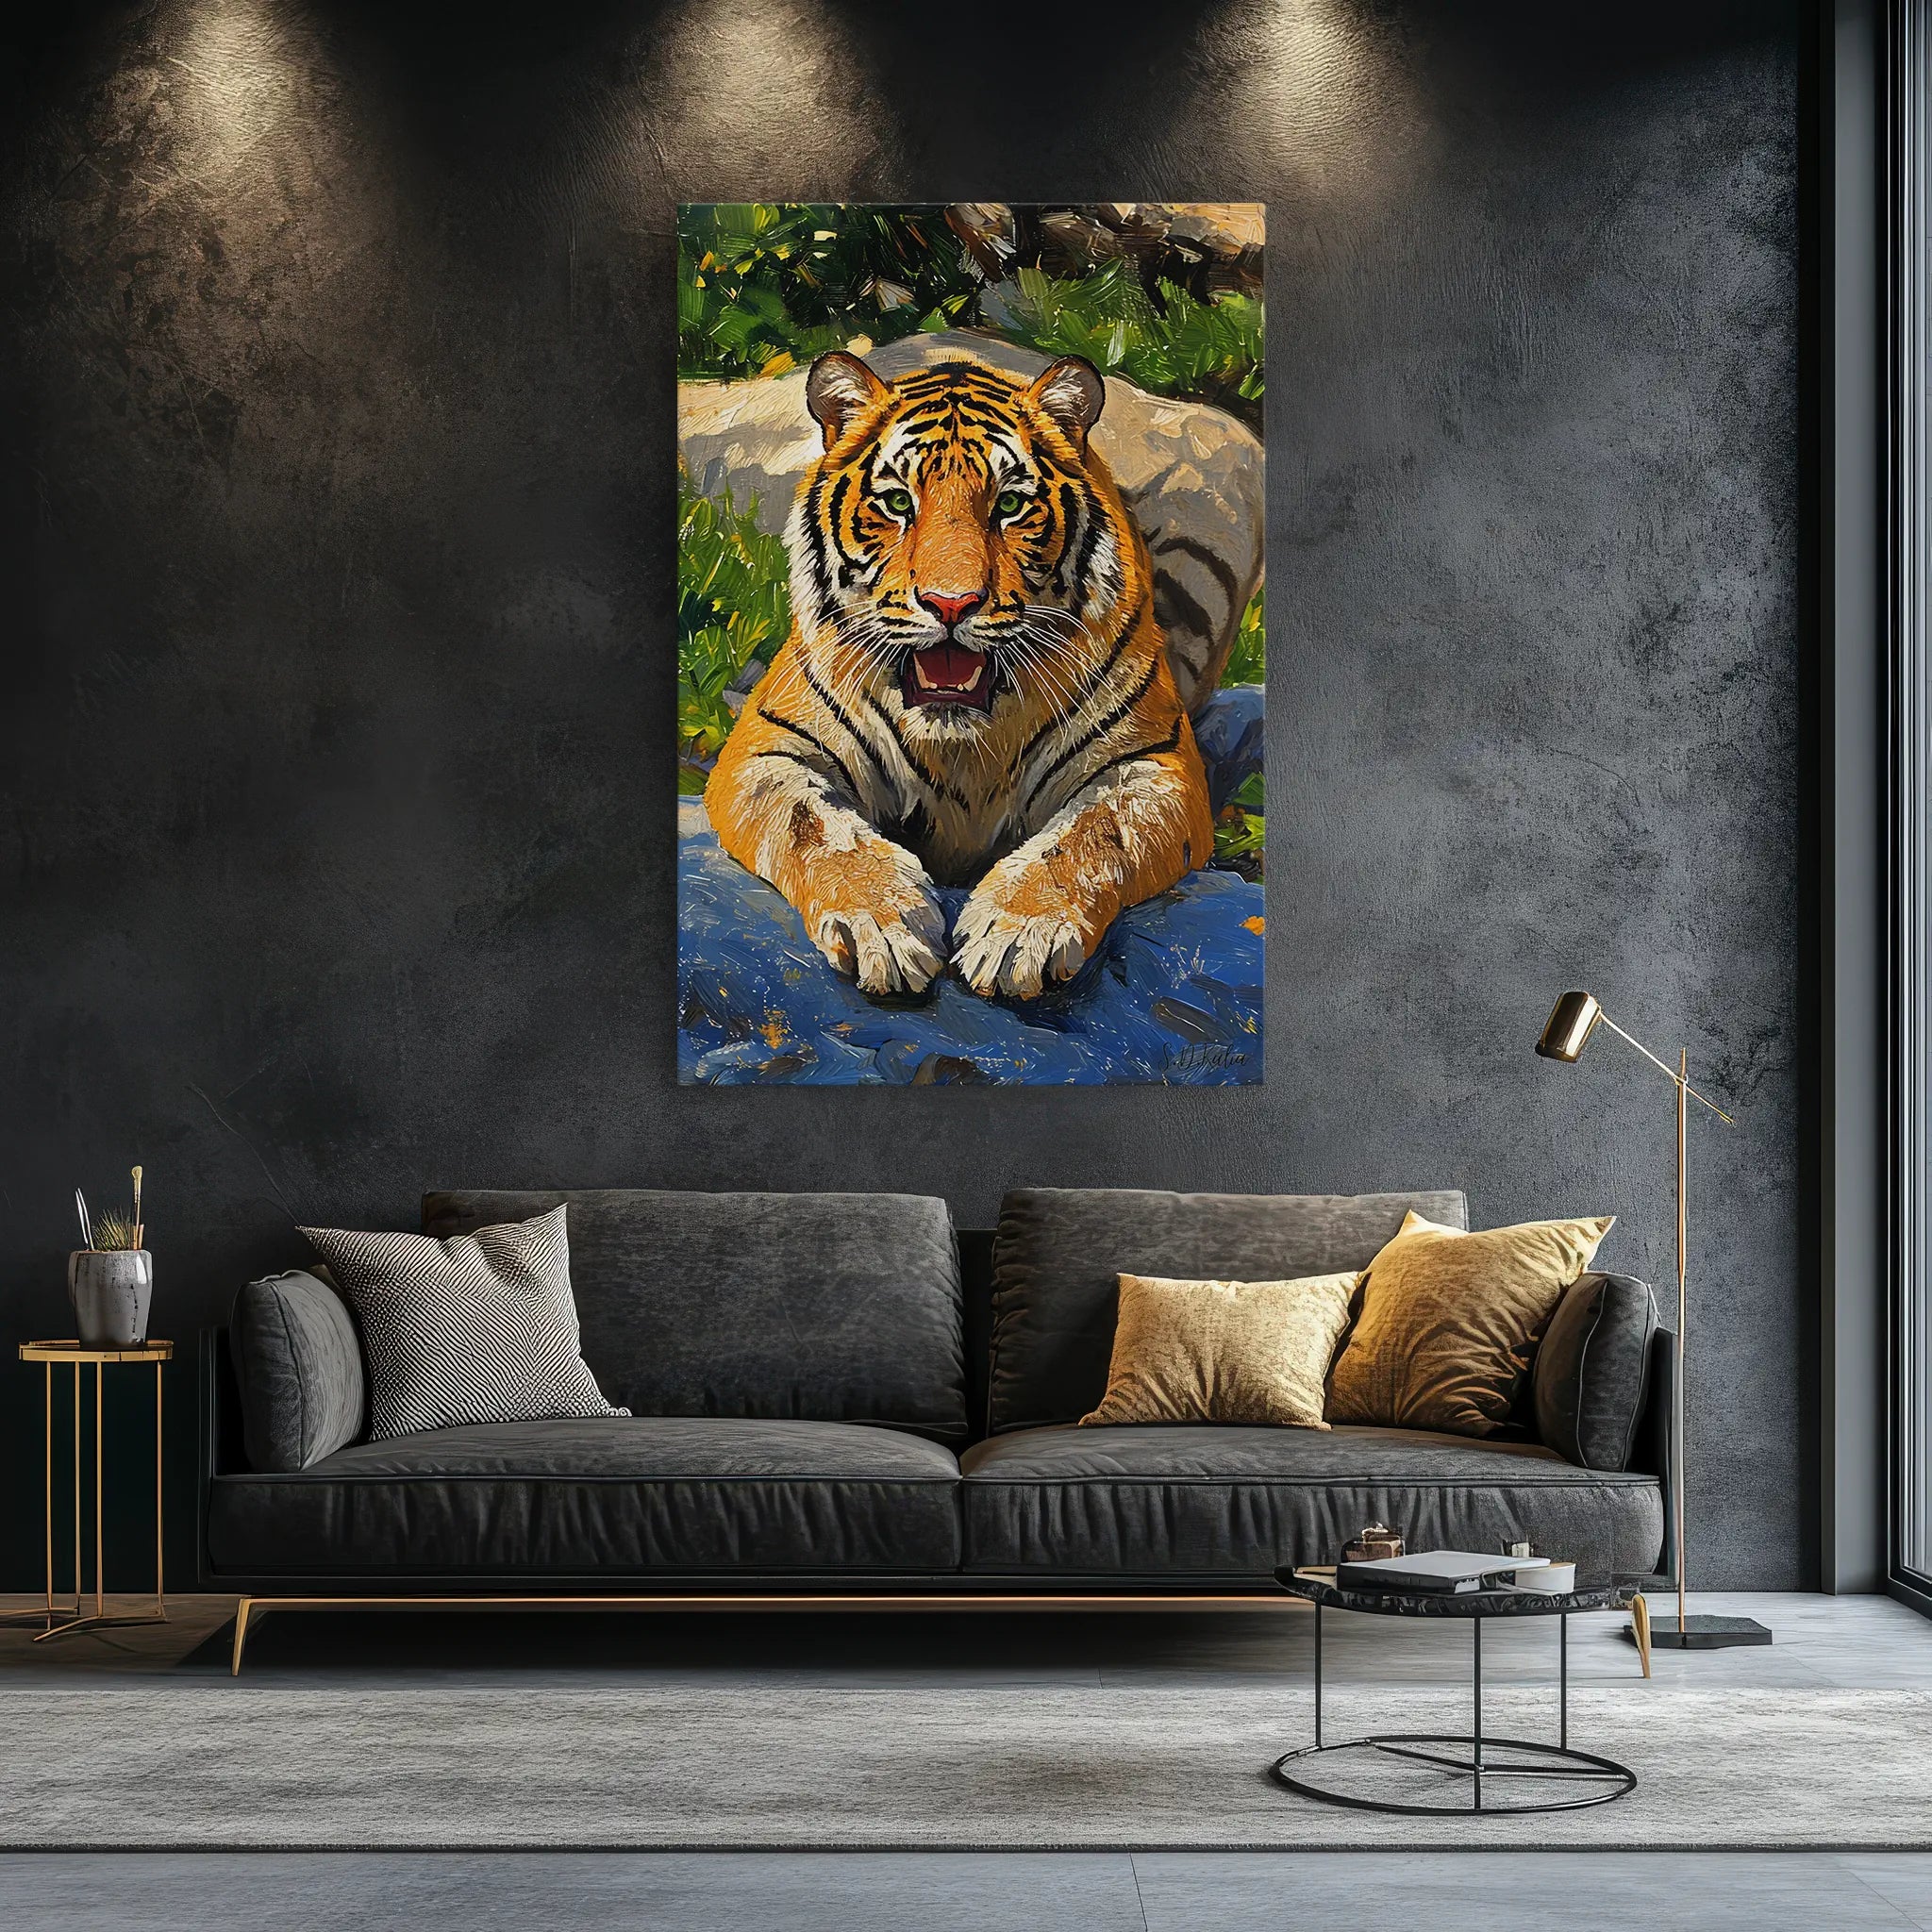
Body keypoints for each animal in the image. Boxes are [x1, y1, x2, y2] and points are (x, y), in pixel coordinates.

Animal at [704, 349, 1217, 1001]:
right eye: (899, 504)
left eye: (1009, 505)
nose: (951, 604)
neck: (963, 750)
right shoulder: (767, 751)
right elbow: (817, 829)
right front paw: (884, 925)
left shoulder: (1153, 764)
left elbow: (1092, 833)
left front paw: (1019, 932)